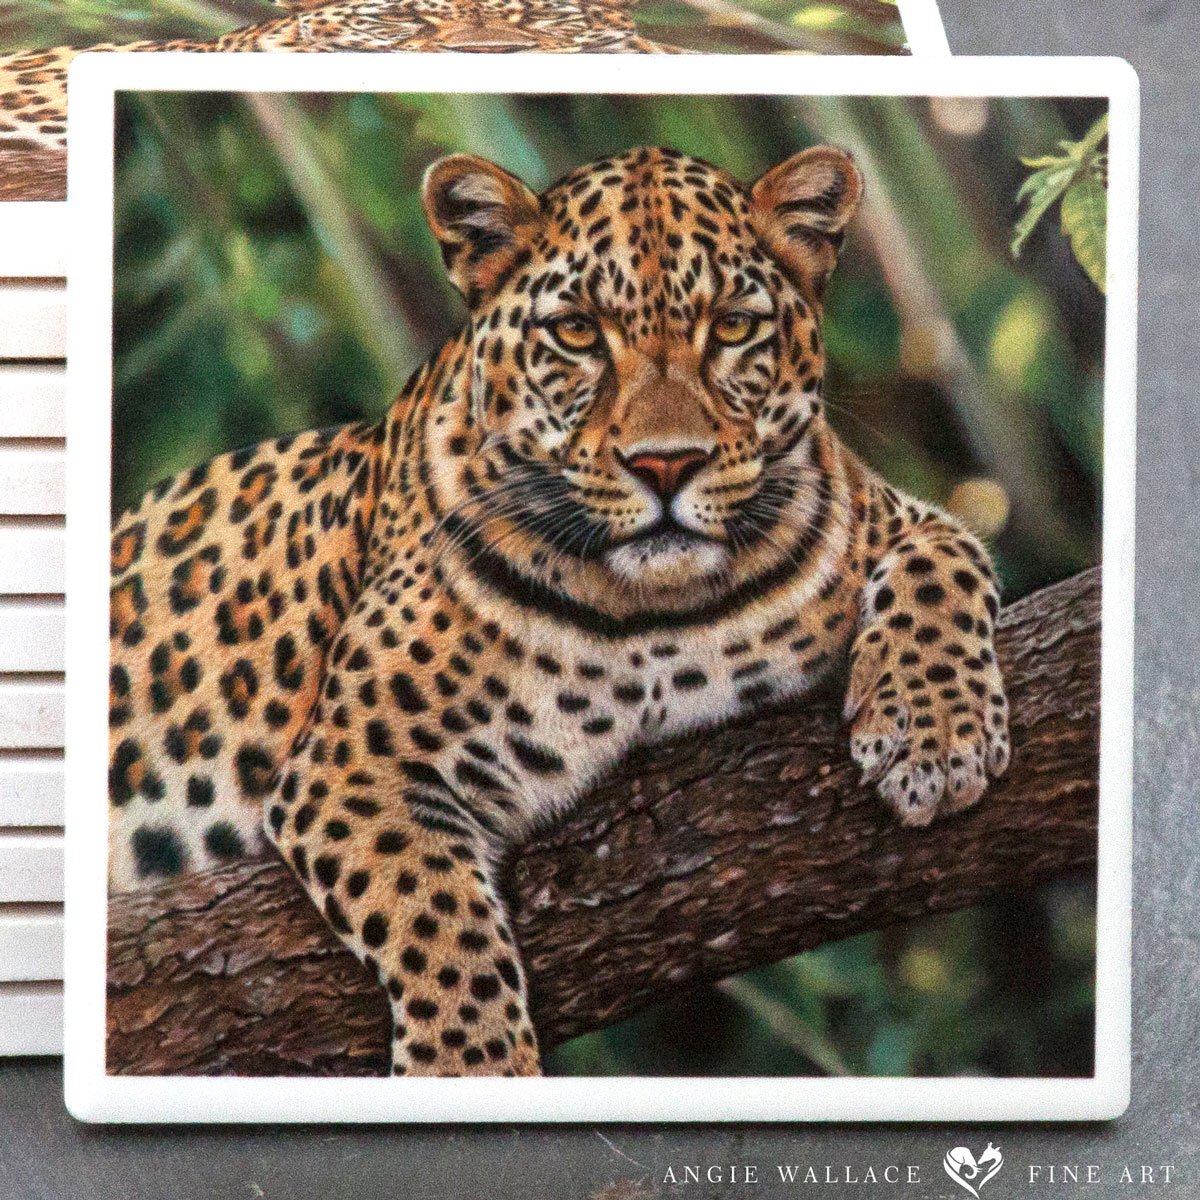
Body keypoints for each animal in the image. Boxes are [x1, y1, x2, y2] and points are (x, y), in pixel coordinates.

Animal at [107, 144, 1011, 1077]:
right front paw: (469, 1067)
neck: (652, 608)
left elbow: (944, 566)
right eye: (577, 333)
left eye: (731, 327)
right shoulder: (351, 762)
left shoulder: (896, 517)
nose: (665, 464)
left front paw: (933, 735)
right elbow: (437, 921)